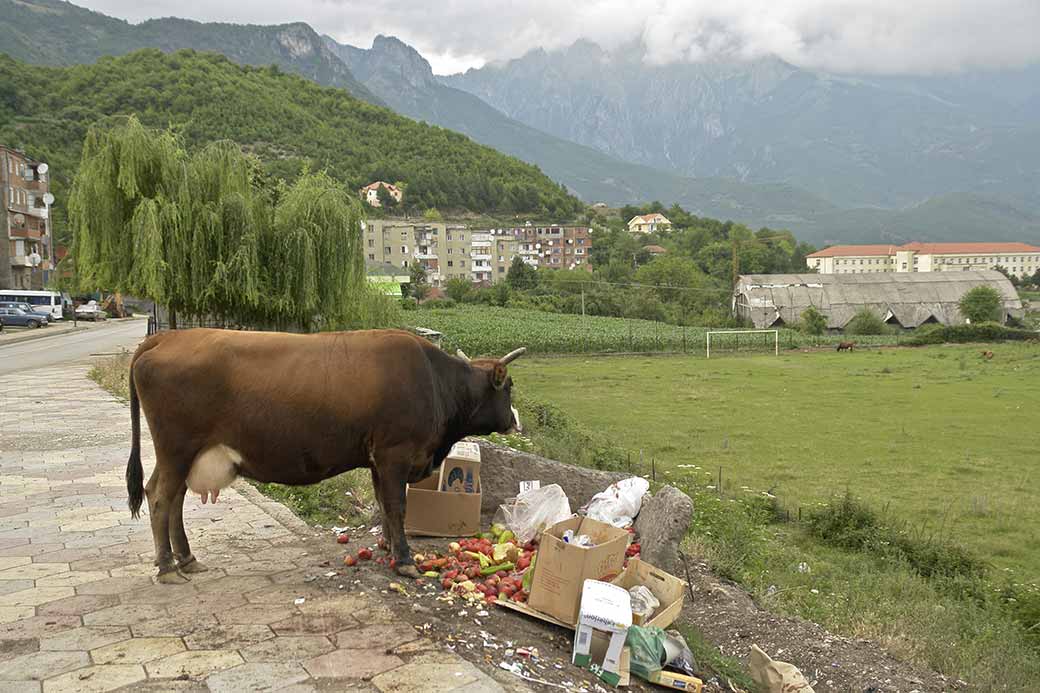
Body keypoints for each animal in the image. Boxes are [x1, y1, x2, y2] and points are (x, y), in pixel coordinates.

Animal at [124, 328, 524, 582]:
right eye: (509, 387)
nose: (515, 421)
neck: (435, 381)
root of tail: (168, 336)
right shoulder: (395, 454)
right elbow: (397, 506)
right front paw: (405, 560)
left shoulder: (377, 459)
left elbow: (383, 504)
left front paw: (387, 546)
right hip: (177, 449)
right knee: (160, 497)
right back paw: (167, 566)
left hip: (184, 455)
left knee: (173, 499)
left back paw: (186, 559)